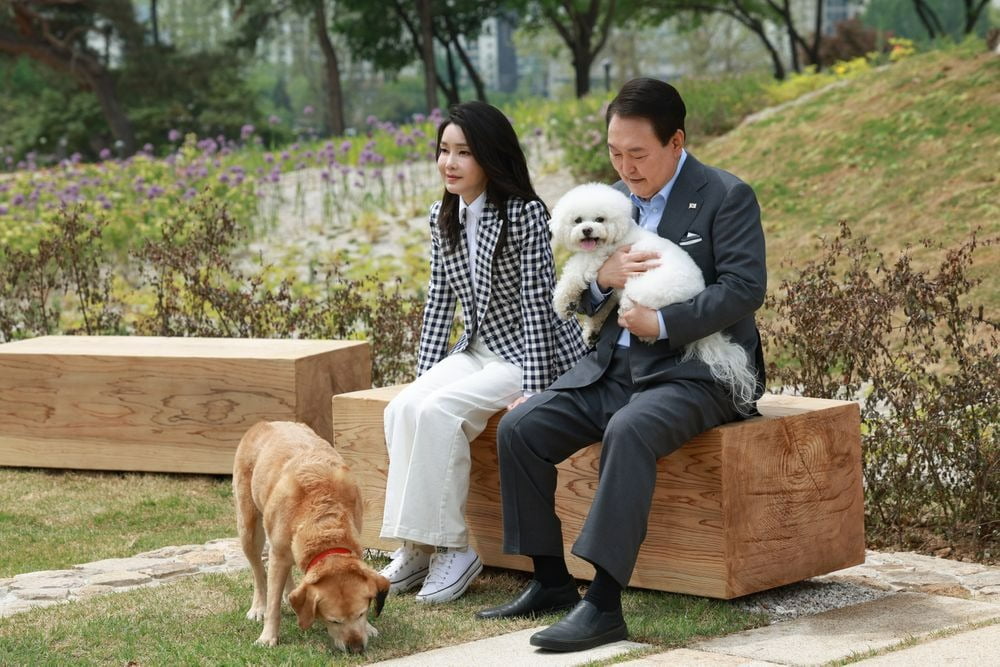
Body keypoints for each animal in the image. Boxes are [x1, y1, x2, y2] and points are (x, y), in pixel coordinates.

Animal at [552, 184, 752, 412]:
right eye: (577, 220)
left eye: (600, 219)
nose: (587, 229)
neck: (616, 237)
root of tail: (696, 294)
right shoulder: (610, 281)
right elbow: (602, 303)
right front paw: (592, 331)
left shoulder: (598, 259)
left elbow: (573, 272)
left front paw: (563, 304)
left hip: (643, 286)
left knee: (640, 308)